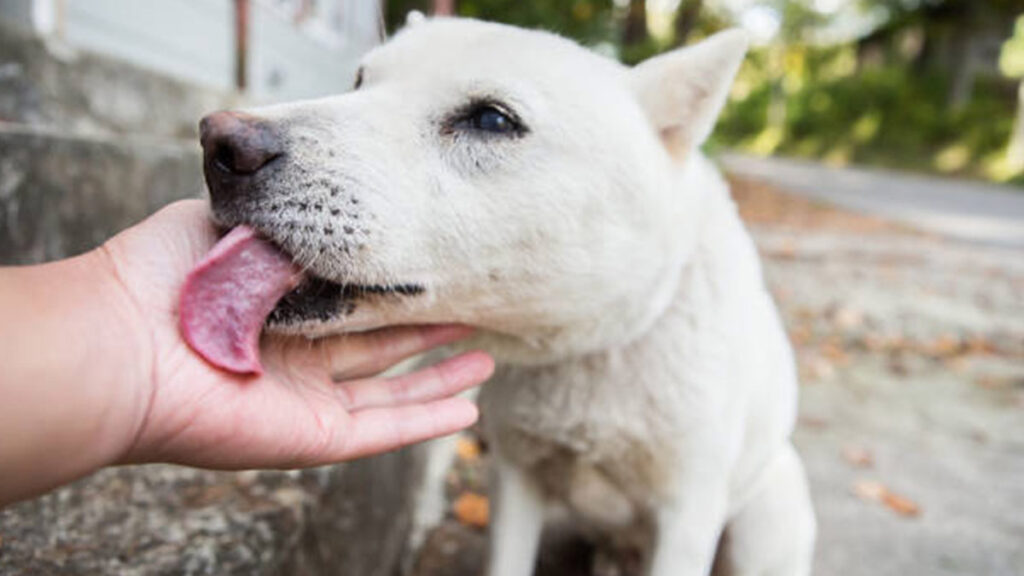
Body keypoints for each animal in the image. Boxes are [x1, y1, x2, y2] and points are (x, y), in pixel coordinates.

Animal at [197, 15, 815, 569]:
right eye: (359, 81)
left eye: (492, 119)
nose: (218, 144)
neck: (590, 352)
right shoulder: (516, 482)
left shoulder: (686, 516)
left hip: (765, 519)